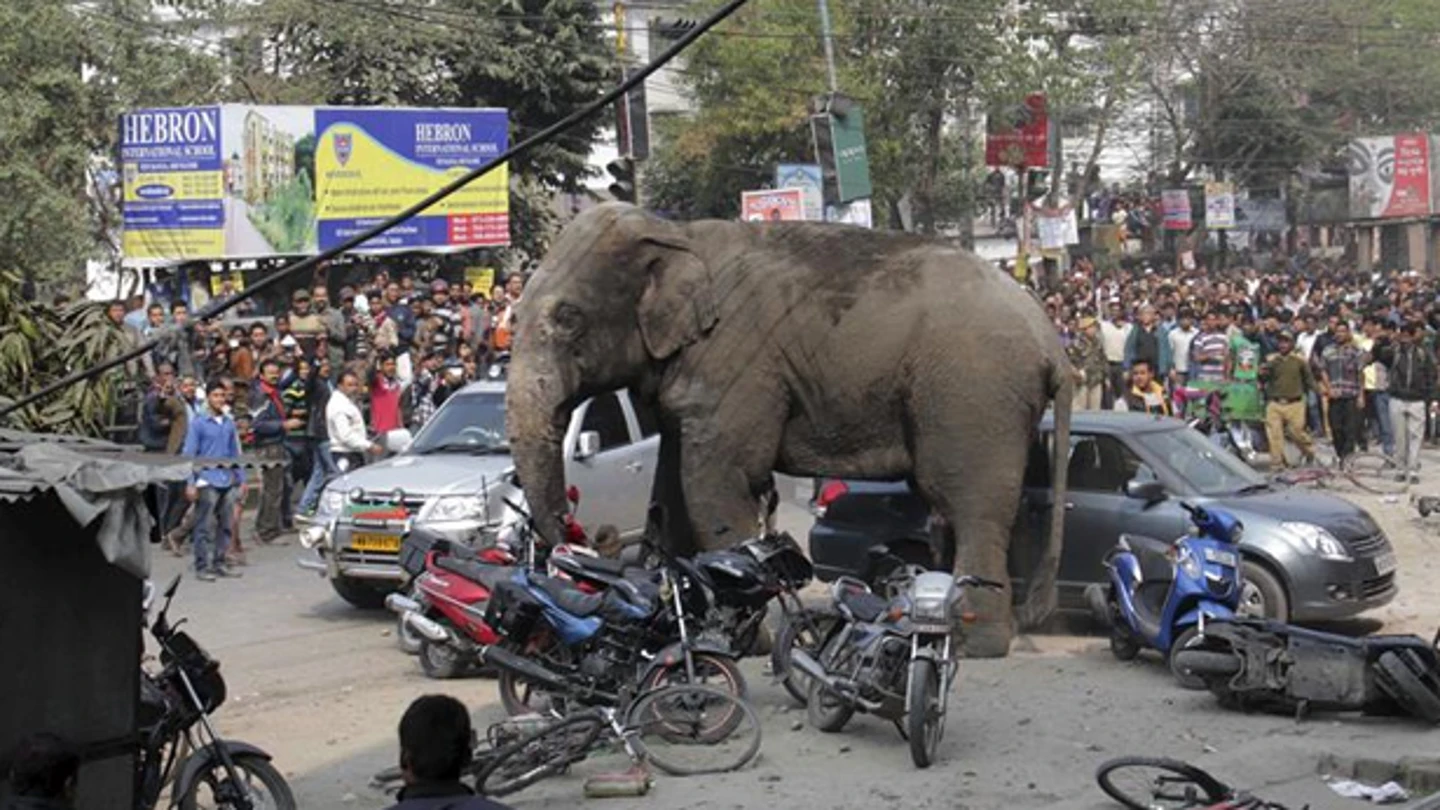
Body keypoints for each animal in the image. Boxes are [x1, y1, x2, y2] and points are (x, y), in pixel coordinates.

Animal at [506, 202, 1072, 657]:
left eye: (568, 318)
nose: (583, 536)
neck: (675, 234)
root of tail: (1050, 340)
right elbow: (672, 485)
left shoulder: (737, 364)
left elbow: (719, 480)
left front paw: (740, 640)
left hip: (974, 394)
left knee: (969, 503)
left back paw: (975, 642)